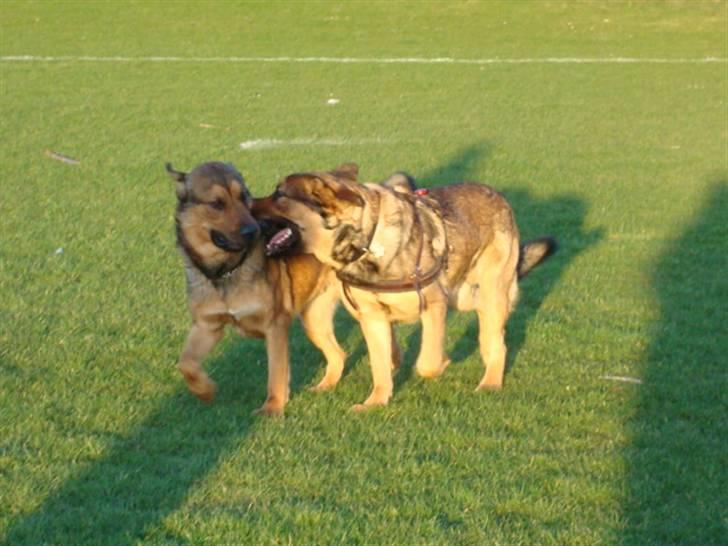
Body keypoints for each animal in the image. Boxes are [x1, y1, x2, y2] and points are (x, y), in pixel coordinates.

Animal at [169, 160, 346, 412]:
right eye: (216, 203)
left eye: (244, 197)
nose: (254, 231)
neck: (226, 272)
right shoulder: (207, 326)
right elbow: (186, 363)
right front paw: (205, 391)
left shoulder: (275, 326)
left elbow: (276, 373)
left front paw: (272, 408)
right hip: (315, 319)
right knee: (339, 354)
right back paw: (324, 387)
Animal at [253, 165, 556, 408]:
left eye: (279, 195)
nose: (248, 203)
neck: (368, 242)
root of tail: (497, 196)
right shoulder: (371, 317)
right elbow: (378, 366)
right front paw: (375, 403)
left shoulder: (434, 305)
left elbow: (428, 363)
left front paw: (442, 363)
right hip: (322, 318)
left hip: (488, 297)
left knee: (495, 344)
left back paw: (490, 382)